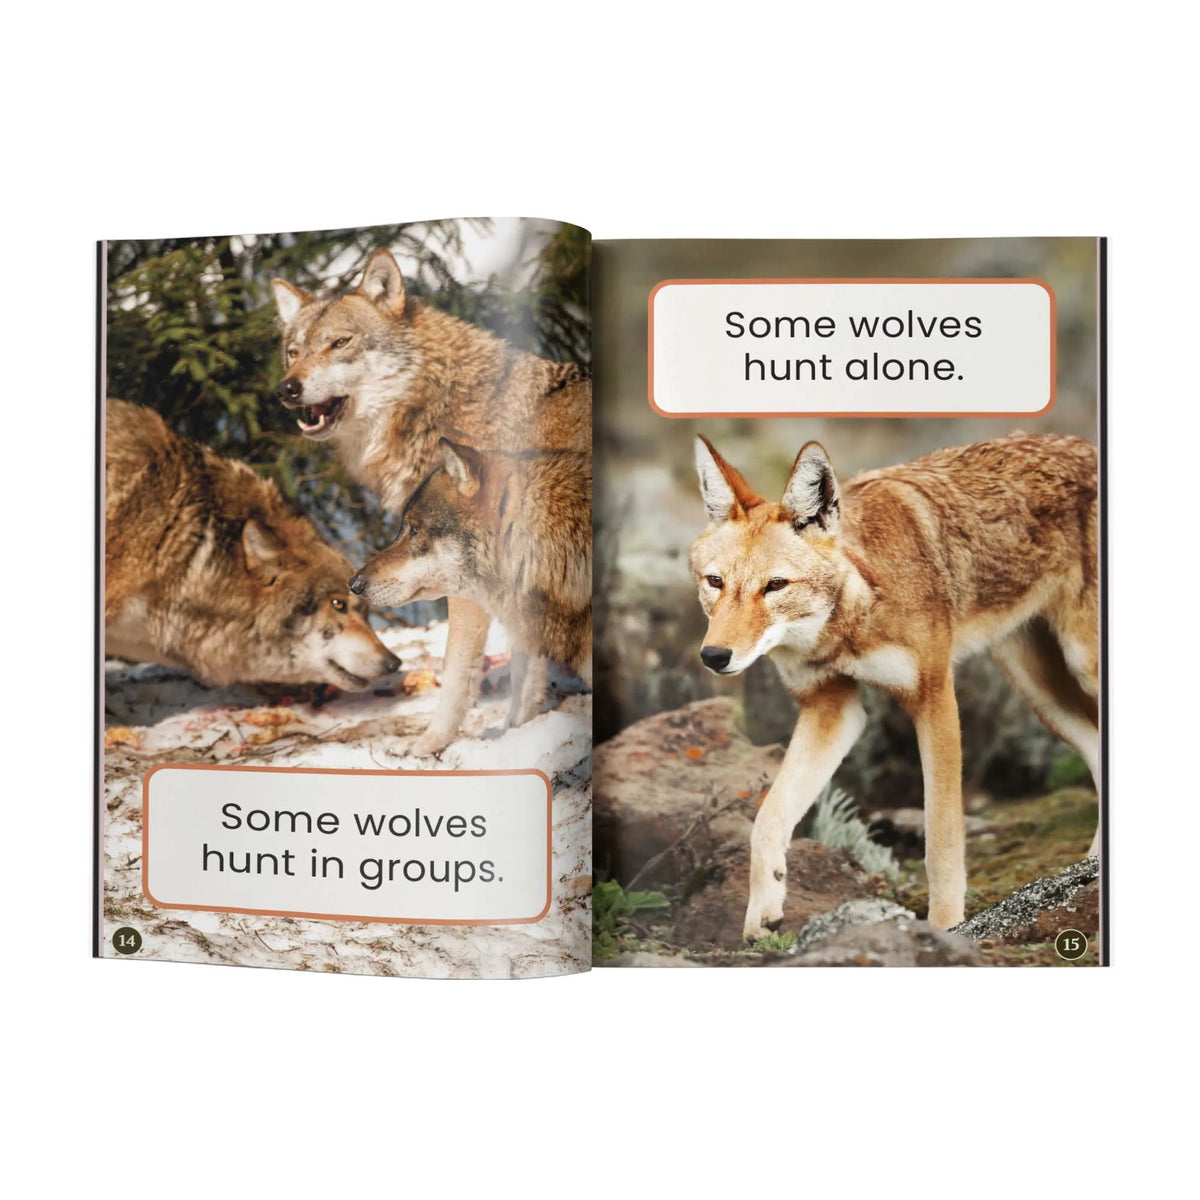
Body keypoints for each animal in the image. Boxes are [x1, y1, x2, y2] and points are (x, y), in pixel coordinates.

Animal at [690, 432, 1099, 939]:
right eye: (715, 582)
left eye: (776, 585)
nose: (713, 656)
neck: (853, 617)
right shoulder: (831, 708)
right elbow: (766, 819)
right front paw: (762, 914)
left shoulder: (934, 698)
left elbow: (941, 844)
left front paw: (944, 932)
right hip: (1037, 688)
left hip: (1081, 666)